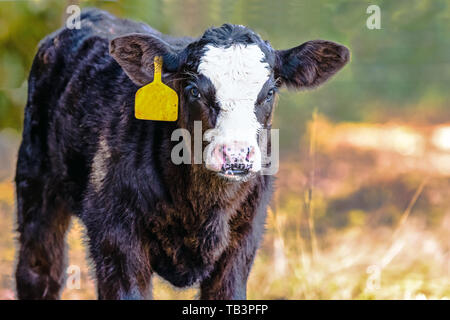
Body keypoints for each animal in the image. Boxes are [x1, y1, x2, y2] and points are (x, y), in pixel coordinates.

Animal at [14, 9, 348, 300]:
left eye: (269, 93)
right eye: (195, 91)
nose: (236, 155)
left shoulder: (244, 239)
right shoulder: (115, 237)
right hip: (36, 181)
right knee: (39, 272)